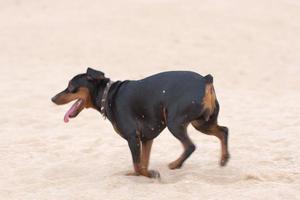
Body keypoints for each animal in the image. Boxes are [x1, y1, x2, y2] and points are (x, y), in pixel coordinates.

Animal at [51, 68, 230, 178]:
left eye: (70, 86)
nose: (52, 98)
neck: (107, 96)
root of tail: (206, 80)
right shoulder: (146, 138)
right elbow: (142, 163)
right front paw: (142, 174)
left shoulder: (132, 136)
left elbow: (138, 165)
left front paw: (151, 174)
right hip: (201, 122)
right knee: (224, 131)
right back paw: (223, 159)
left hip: (175, 122)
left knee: (190, 146)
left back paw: (175, 164)